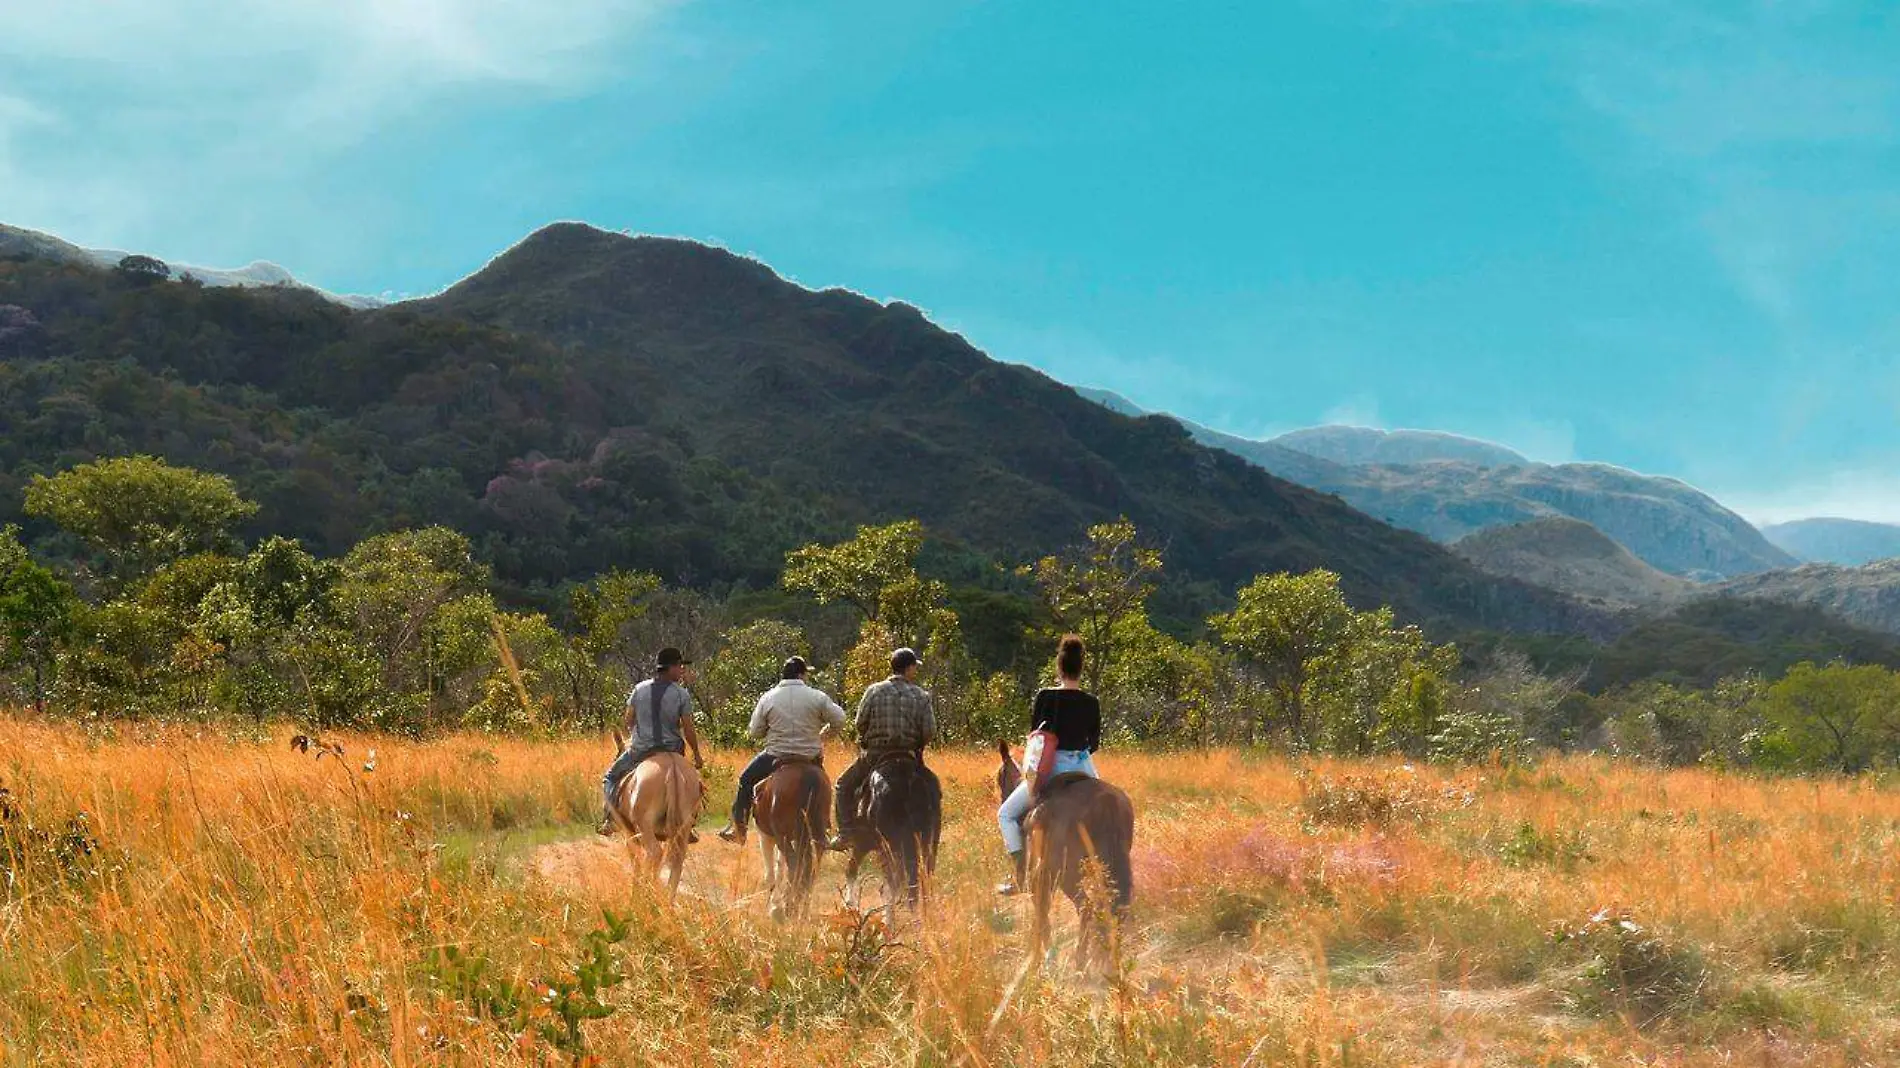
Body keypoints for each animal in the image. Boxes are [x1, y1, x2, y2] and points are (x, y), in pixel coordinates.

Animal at [611, 748, 703, 896]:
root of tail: (672, 767)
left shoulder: (628, 834)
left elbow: (635, 861)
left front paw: (636, 892)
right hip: (684, 825)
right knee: (677, 858)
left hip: (645, 825)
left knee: (654, 852)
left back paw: (648, 892)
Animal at [748, 756, 832, 915]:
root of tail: (809, 777)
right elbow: (779, 869)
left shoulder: (766, 837)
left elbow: (772, 873)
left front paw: (774, 906)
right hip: (813, 835)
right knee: (811, 865)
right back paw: (802, 909)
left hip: (784, 837)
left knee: (795, 864)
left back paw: (790, 906)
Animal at [1003, 737, 1132, 969]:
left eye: (999, 776)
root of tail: (1105, 800)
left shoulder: (1040, 879)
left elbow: (1042, 914)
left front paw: (1044, 958)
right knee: (1108, 906)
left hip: (1068, 875)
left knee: (1086, 908)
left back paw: (1080, 961)